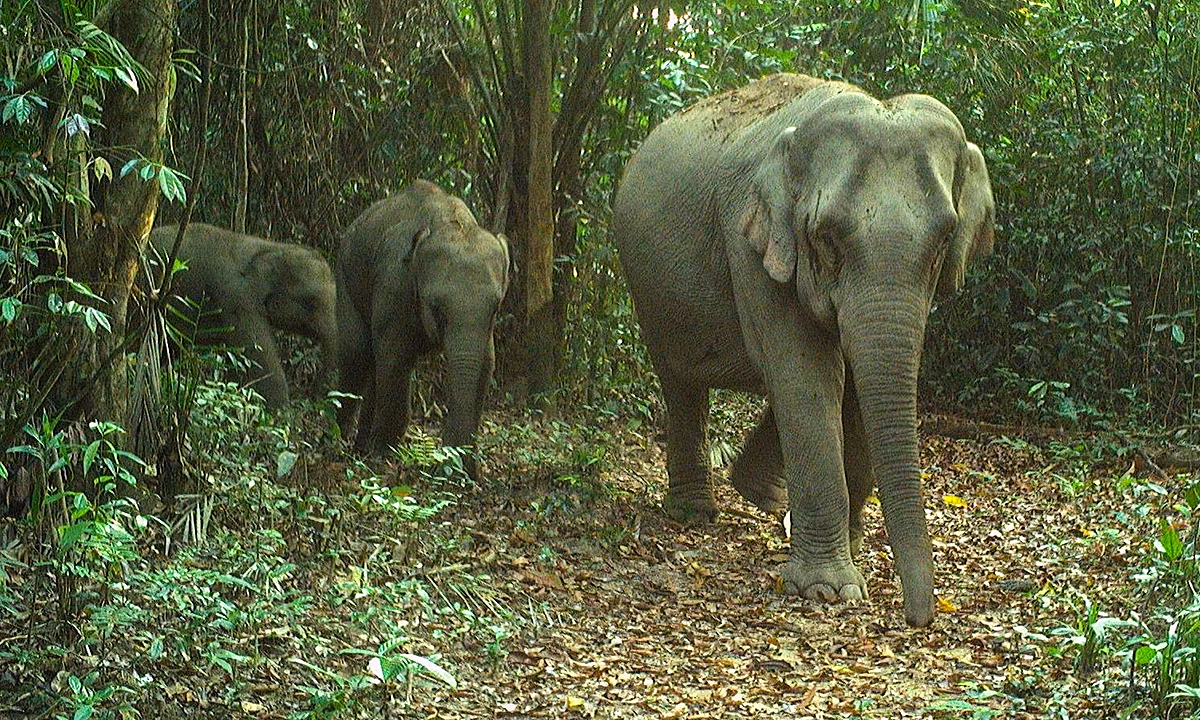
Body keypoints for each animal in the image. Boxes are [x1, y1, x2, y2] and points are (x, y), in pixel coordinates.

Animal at [147, 223, 338, 409]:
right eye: (310, 301)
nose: (313, 397)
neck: (271, 247)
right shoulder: (236, 299)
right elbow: (258, 355)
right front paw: (281, 413)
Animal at [335, 180, 510, 480]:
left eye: (496, 308)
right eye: (436, 307)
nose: (455, 468)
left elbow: (486, 365)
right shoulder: (394, 283)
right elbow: (395, 358)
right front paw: (384, 455)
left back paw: (361, 446)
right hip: (347, 275)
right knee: (357, 354)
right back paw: (342, 440)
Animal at [612, 73, 994, 627]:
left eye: (944, 240)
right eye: (827, 238)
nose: (919, 617)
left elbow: (852, 382)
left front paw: (850, 553)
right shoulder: (751, 244)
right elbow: (808, 376)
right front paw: (827, 590)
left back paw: (760, 492)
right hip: (650, 292)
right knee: (682, 384)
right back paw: (694, 513)